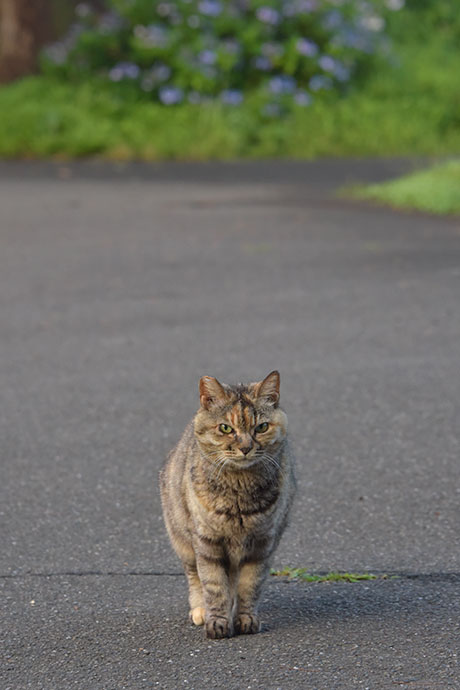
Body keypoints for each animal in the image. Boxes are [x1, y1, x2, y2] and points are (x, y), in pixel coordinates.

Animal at [160, 370, 294, 640]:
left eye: (261, 427)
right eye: (225, 428)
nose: (245, 448)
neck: (239, 492)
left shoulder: (262, 545)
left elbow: (249, 586)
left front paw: (245, 619)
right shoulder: (207, 544)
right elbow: (214, 586)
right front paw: (217, 623)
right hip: (183, 541)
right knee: (195, 577)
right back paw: (200, 611)